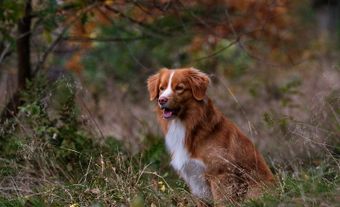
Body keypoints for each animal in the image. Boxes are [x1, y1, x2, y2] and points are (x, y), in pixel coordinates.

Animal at [146, 67, 274, 205]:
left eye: (179, 88)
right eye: (161, 88)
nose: (162, 100)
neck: (190, 126)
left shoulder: (220, 175)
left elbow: (221, 202)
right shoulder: (195, 179)